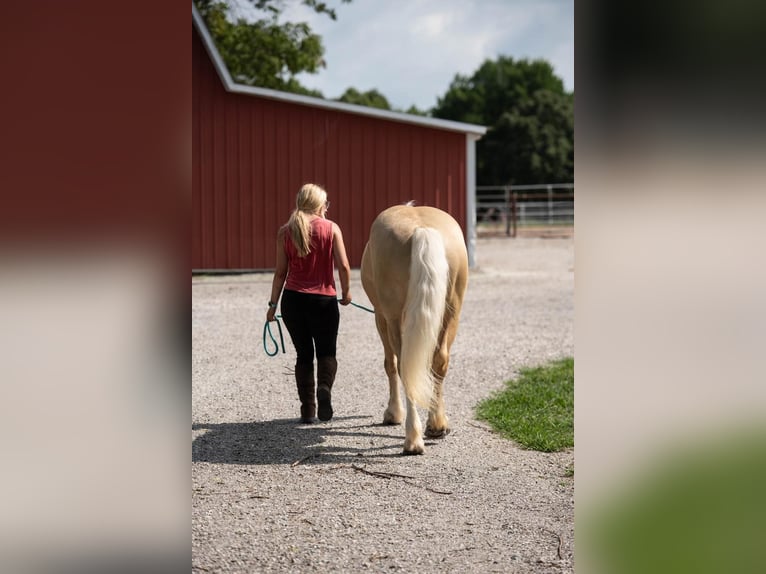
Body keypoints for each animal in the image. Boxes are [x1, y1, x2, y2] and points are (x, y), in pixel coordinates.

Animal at [361, 204, 468, 455]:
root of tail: (421, 229)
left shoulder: (381, 317)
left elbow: (390, 365)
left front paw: (393, 414)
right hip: (451, 313)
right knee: (440, 361)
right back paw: (437, 425)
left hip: (392, 319)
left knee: (404, 367)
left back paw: (412, 439)